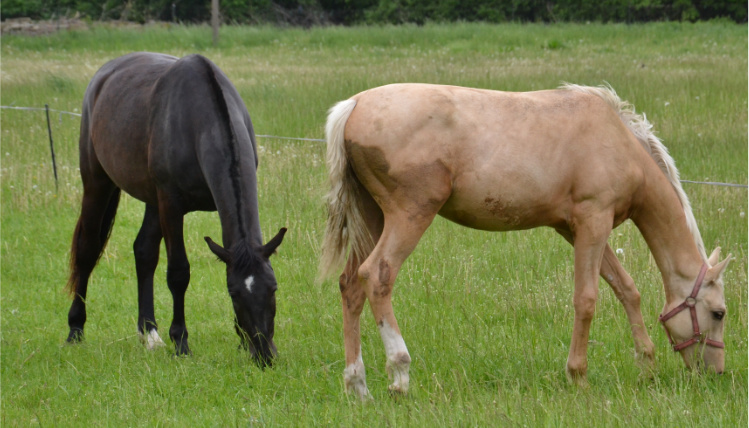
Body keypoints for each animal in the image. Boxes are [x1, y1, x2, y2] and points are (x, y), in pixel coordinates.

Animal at [65, 51, 284, 366]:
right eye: (233, 293)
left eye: (273, 288)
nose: (265, 354)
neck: (199, 120)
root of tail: (103, 75)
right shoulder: (171, 204)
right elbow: (179, 273)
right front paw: (181, 341)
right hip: (98, 183)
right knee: (87, 250)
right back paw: (75, 329)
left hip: (151, 199)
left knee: (144, 251)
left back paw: (149, 333)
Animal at [320, 83, 732, 398]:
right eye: (719, 313)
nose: (716, 373)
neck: (618, 141)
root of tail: (353, 105)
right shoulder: (593, 223)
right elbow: (586, 300)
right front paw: (578, 376)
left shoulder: (576, 230)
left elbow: (626, 289)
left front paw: (646, 363)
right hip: (409, 217)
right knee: (377, 276)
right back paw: (400, 373)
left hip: (373, 219)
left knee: (351, 286)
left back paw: (358, 386)